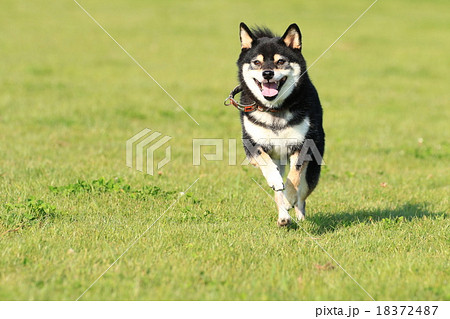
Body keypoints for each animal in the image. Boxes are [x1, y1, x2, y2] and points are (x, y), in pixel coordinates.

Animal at [234, 23, 326, 228]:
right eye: (257, 62)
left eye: (281, 61)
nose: (267, 73)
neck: (275, 110)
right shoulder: (252, 146)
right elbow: (268, 166)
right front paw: (276, 181)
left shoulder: (302, 145)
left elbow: (294, 178)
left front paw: (290, 197)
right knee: (277, 192)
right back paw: (283, 217)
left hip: (313, 167)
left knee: (302, 196)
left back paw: (297, 214)